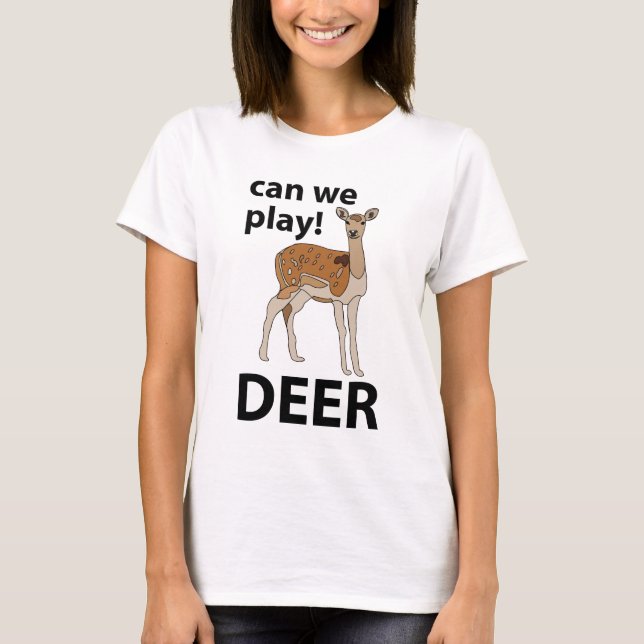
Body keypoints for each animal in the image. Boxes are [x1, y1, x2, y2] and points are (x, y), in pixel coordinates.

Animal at [259, 206, 379, 377]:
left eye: (363, 221)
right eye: (347, 221)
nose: (353, 232)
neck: (353, 275)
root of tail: (278, 253)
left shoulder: (356, 298)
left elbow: (353, 329)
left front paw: (359, 371)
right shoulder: (337, 297)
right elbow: (342, 330)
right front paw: (346, 370)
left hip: (303, 292)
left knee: (289, 310)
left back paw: (296, 357)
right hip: (289, 284)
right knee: (273, 305)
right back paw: (264, 356)